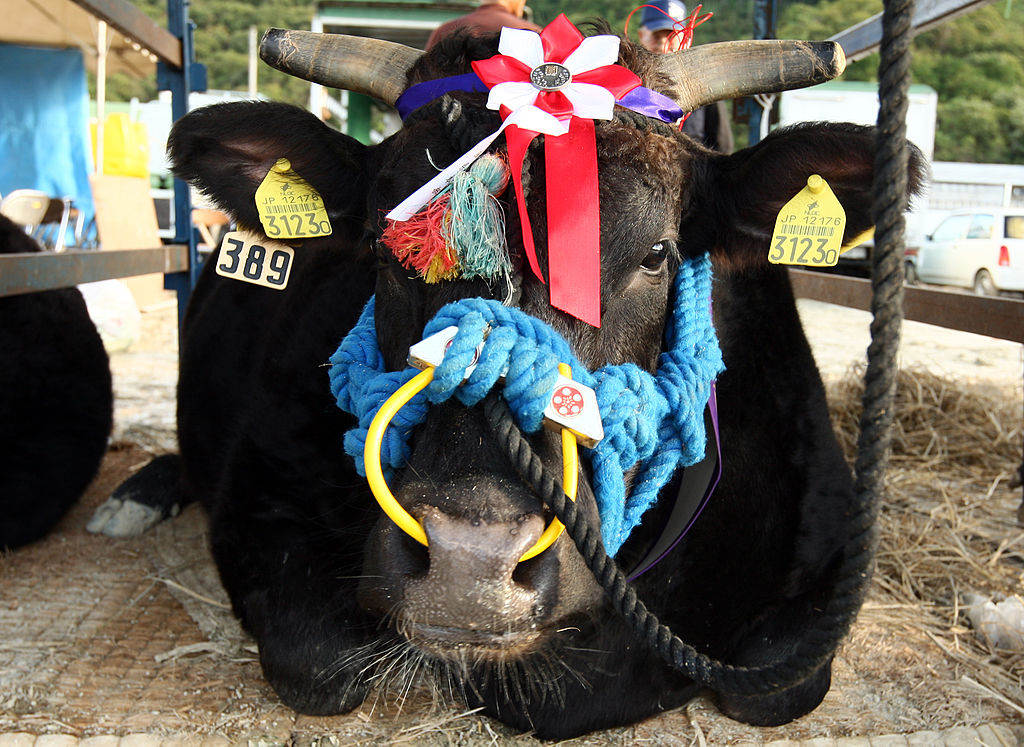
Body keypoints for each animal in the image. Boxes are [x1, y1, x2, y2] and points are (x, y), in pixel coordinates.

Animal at [148, 20, 925, 737]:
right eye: (386, 246)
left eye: (658, 253)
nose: (470, 565)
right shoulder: (261, 484)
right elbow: (322, 662)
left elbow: (771, 688)